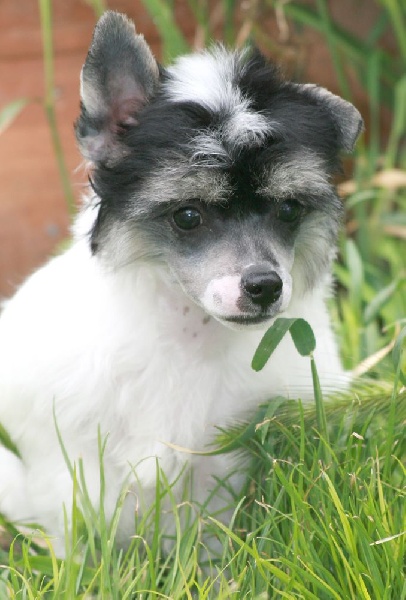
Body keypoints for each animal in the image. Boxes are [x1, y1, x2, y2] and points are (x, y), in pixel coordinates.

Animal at [0, 11, 362, 553]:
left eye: (288, 209)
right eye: (188, 216)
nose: (264, 285)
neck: (189, 332)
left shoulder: (223, 463)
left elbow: (210, 541)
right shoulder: (64, 462)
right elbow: (77, 534)